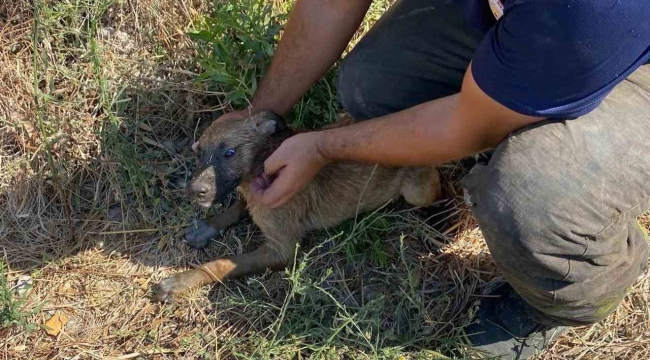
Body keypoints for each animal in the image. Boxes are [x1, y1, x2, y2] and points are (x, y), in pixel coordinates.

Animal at [152, 112, 438, 300]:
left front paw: (182, 281)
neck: (263, 161)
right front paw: (209, 226)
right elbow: (239, 206)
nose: (195, 191)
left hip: (417, 191)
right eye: (199, 153)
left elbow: (221, 263)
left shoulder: (282, 250)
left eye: (229, 153)